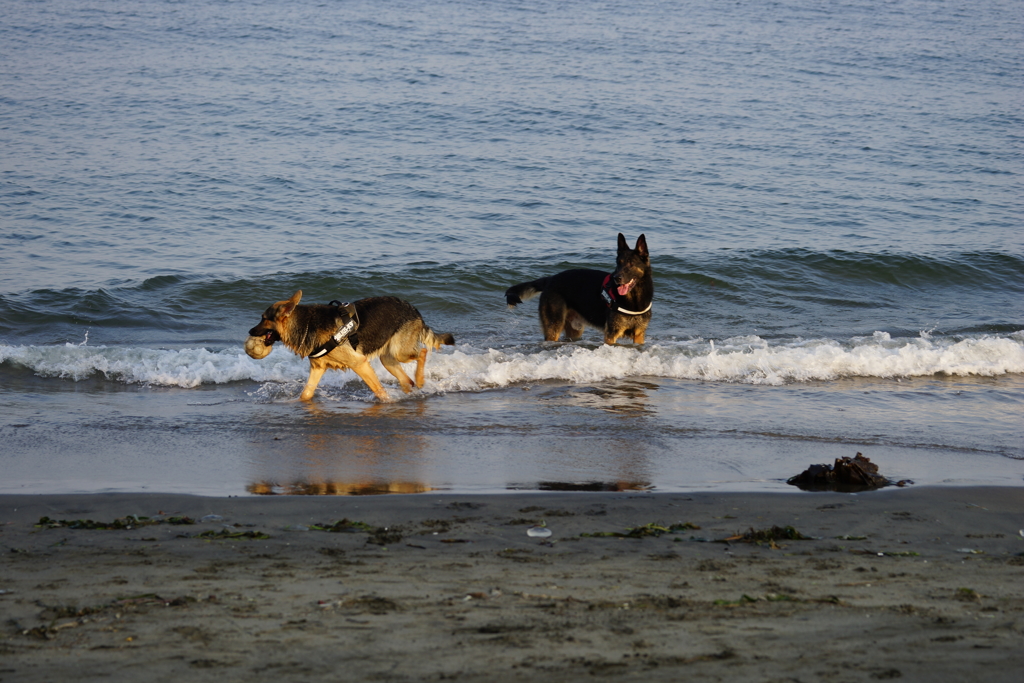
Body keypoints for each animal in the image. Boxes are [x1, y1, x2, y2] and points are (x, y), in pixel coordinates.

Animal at [245, 292, 454, 401]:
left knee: (423, 352)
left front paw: (386, 402)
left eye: (263, 319)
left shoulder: (359, 363)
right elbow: (306, 392)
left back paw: (420, 380)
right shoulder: (318, 368)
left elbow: (378, 389)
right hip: (388, 359)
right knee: (406, 380)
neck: (305, 324)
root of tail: (413, 309)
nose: (250, 330)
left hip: (399, 352)